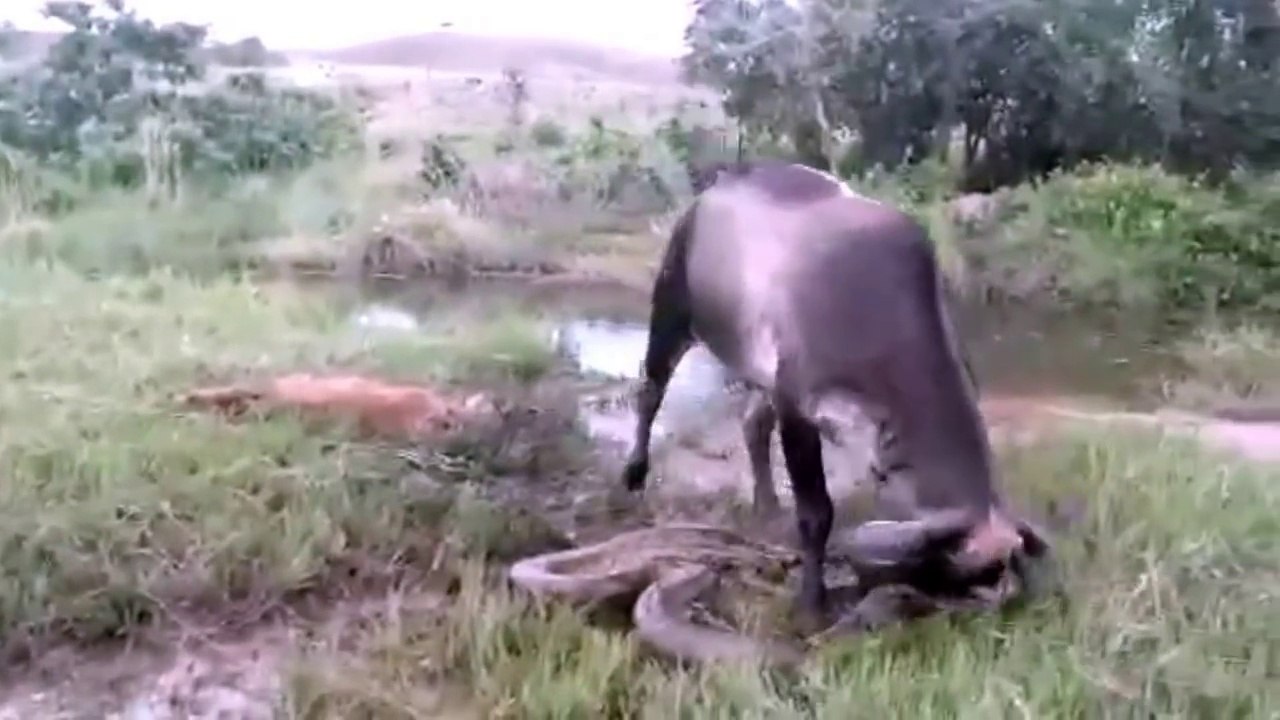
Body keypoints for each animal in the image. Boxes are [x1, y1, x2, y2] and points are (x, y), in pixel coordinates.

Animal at [619, 160, 1049, 625]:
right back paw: (635, 472)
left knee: (752, 423)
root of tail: (710, 194)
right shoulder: (797, 407)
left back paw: (767, 505)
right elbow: (816, 513)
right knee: (650, 390)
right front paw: (812, 601)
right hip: (673, 310)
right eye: (950, 571)